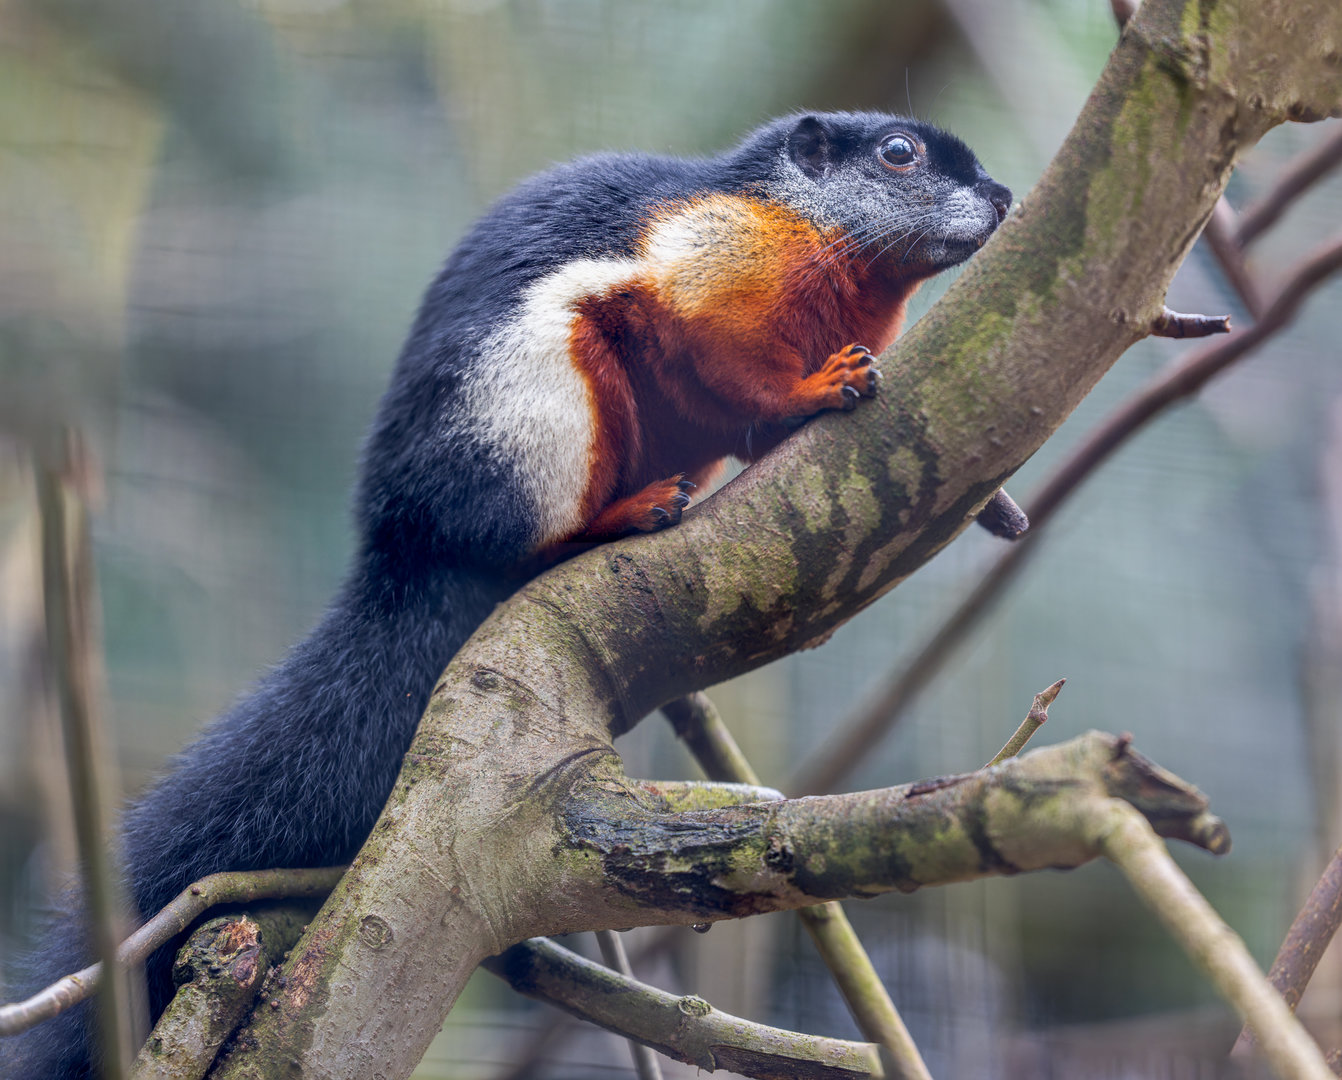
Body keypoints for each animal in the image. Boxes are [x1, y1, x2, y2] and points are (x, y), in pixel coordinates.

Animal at [3, 110, 1018, 1076]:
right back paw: (623, 516)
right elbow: (738, 368)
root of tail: (409, 551)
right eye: (898, 154)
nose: (1006, 197)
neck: (807, 229)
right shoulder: (712, 272)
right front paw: (819, 387)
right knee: (529, 538)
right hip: (540, 405)